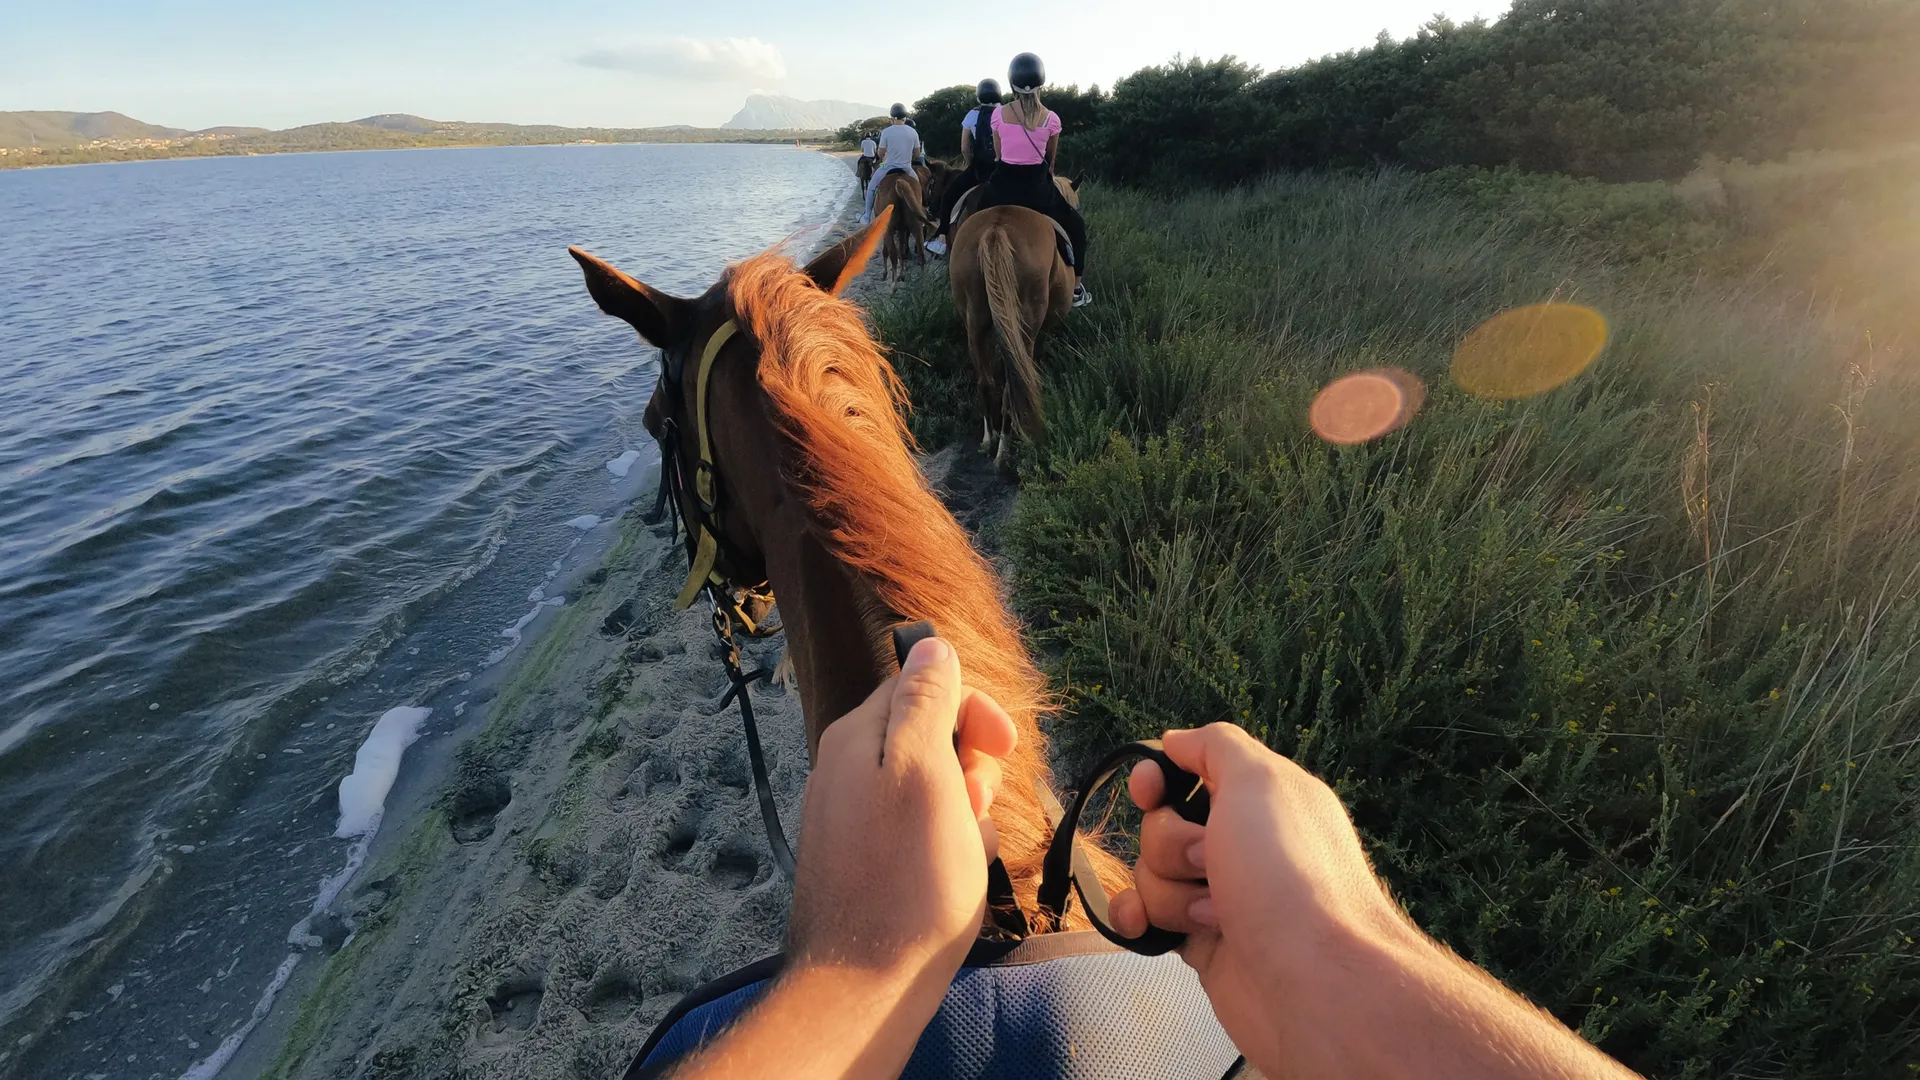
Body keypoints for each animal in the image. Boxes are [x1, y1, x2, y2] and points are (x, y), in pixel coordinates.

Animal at [946, 176, 1082, 468]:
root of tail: (995, 231)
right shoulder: (1042, 331)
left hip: (975, 320)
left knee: (986, 381)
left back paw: (990, 439)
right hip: (1025, 324)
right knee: (1016, 383)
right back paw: (1005, 449)